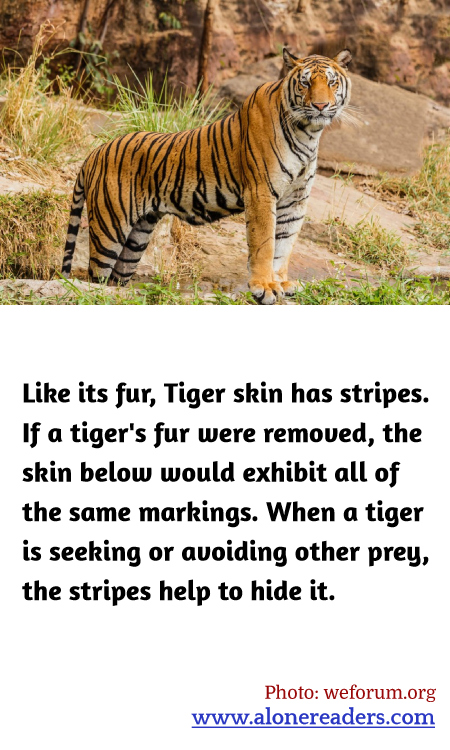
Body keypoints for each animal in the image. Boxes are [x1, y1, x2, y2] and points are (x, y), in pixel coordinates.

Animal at [62, 48, 351, 304]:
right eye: (305, 83)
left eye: (331, 82)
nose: (320, 105)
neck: (308, 133)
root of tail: (94, 152)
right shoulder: (261, 192)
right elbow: (265, 244)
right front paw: (265, 287)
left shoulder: (295, 199)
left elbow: (284, 245)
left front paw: (280, 283)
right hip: (109, 229)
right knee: (95, 277)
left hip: (137, 237)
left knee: (115, 279)